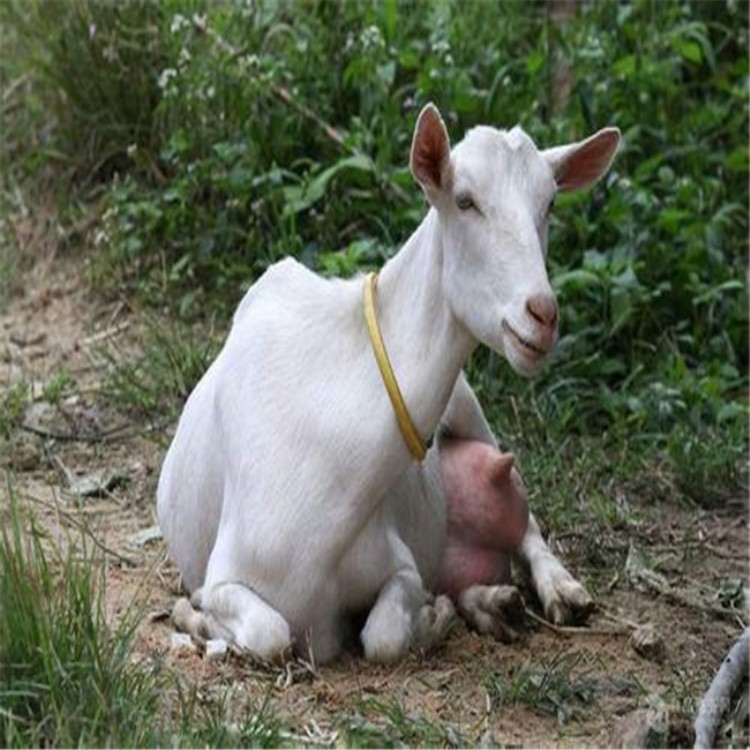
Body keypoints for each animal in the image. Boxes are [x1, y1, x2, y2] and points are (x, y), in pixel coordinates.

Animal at [159, 104, 624, 664]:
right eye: (464, 201)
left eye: (550, 203)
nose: (542, 315)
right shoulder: (225, 575)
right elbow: (269, 633)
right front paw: (194, 619)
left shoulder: (398, 563)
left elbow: (383, 635)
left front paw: (433, 615)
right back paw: (489, 602)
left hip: (469, 406)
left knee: (525, 519)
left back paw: (556, 591)